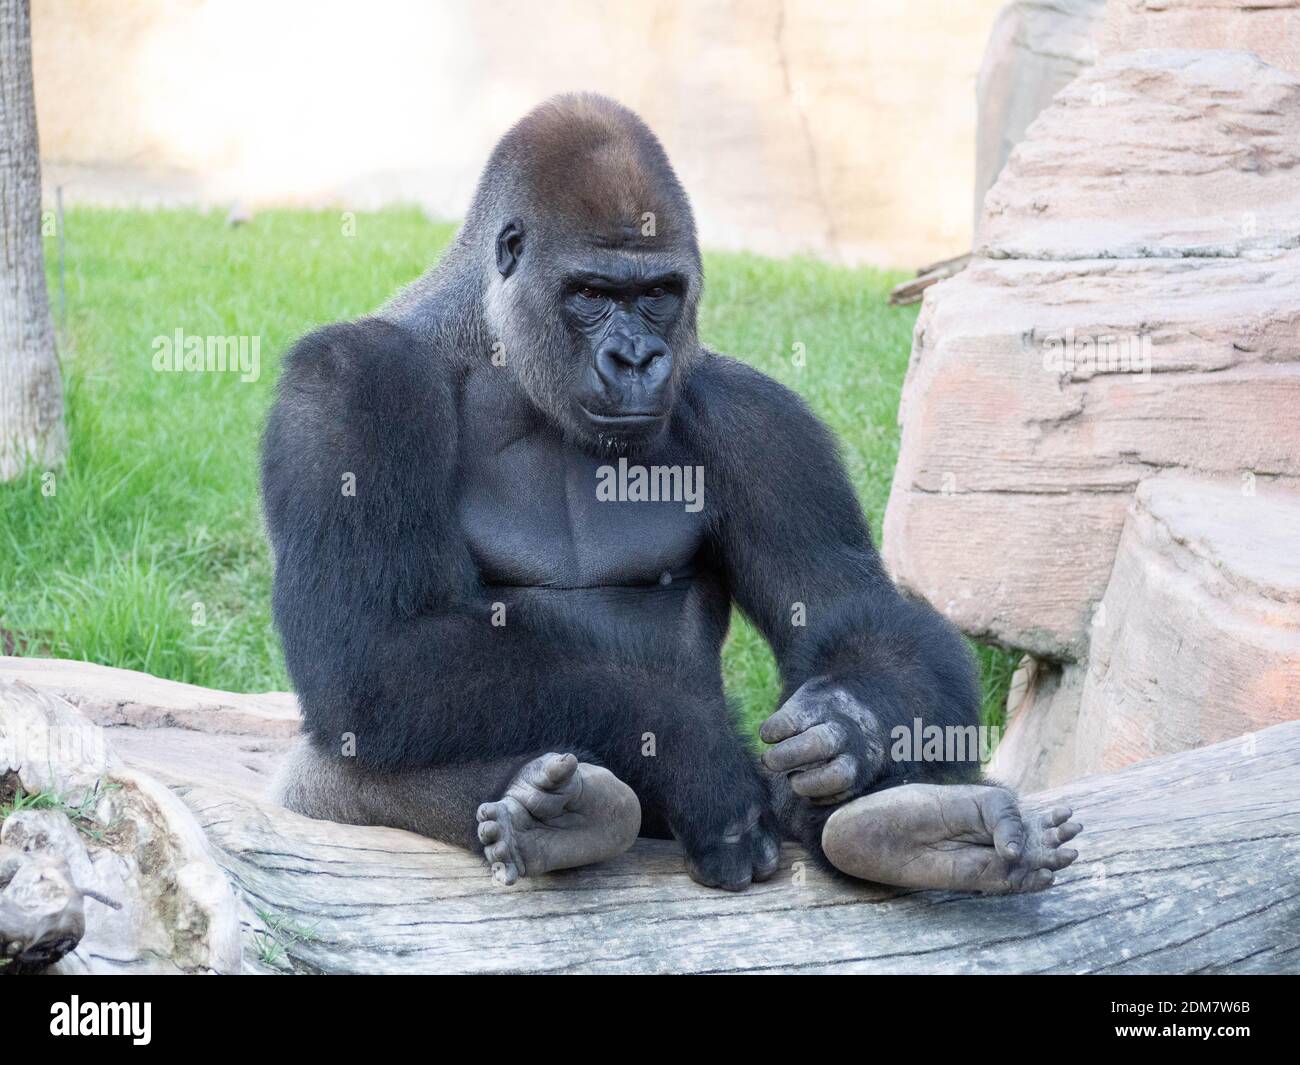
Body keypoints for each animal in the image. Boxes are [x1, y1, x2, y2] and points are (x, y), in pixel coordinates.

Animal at [262, 94, 1080, 893]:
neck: (496, 349)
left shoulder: (760, 421)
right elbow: (373, 649)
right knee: (341, 756)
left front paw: (849, 724)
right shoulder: (345, 386)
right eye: (591, 293)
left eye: (658, 293)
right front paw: (696, 753)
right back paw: (563, 813)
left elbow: (852, 606)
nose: (636, 358)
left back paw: (922, 830)